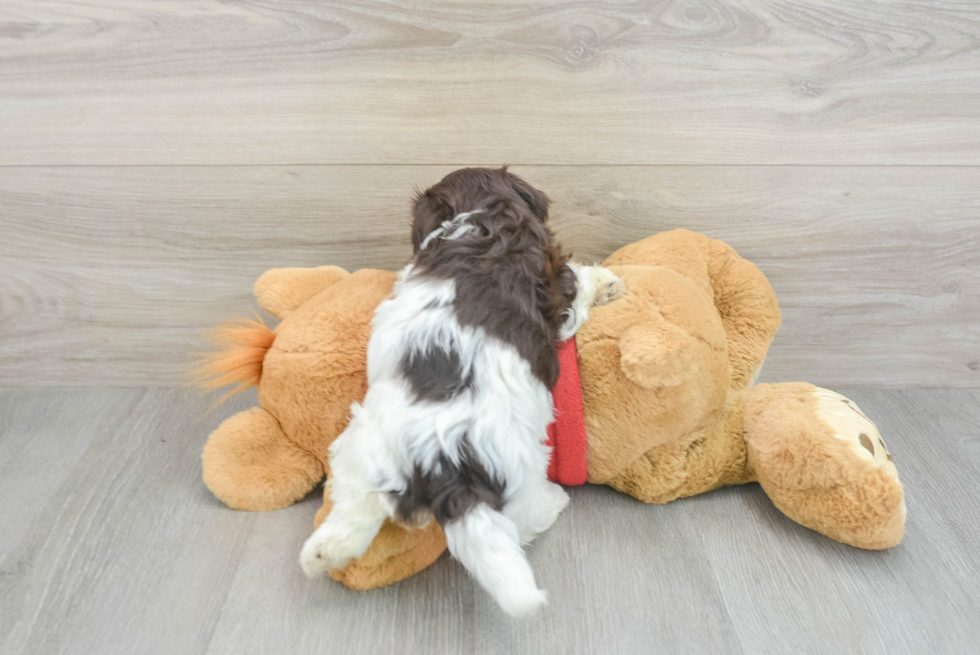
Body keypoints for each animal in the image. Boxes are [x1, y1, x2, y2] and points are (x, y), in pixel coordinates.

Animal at [298, 168, 624, 616]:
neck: (483, 215)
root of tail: (442, 457)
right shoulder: (559, 285)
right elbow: (578, 284)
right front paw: (607, 282)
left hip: (364, 443)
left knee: (355, 502)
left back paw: (323, 553)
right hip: (521, 471)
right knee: (524, 521)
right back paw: (554, 502)